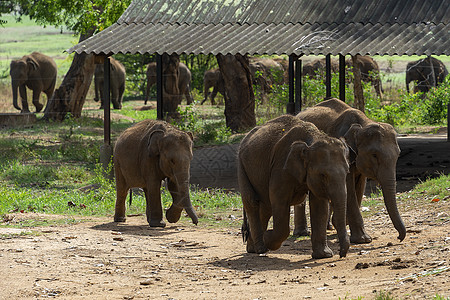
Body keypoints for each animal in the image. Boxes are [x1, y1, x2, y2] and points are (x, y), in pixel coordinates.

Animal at [239, 113, 352, 258]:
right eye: (323, 175)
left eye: (347, 172)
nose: (341, 254)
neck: (313, 139)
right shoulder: (280, 167)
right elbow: (279, 200)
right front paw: (267, 237)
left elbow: (319, 205)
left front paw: (324, 255)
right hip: (241, 166)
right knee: (252, 202)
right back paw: (260, 248)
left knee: (265, 206)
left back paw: (253, 248)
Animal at [294, 99, 406, 245]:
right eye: (374, 155)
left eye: (398, 155)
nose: (398, 237)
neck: (363, 123)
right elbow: (348, 187)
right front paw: (363, 240)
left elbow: (359, 187)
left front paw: (345, 226)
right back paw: (302, 233)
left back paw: (329, 226)